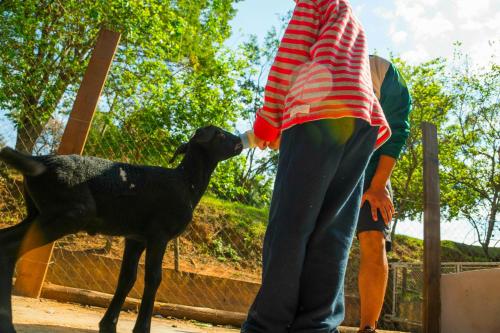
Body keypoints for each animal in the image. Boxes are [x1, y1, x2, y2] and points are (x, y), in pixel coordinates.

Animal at [0, 125, 244, 332]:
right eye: (219, 133)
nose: (240, 141)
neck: (185, 182)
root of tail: (38, 160)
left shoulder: (136, 238)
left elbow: (127, 278)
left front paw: (108, 325)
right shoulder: (159, 234)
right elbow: (154, 278)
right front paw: (142, 329)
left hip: (38, 212)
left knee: (6, 240)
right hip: (69, 213)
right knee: (10, 248)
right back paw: (8, 324)